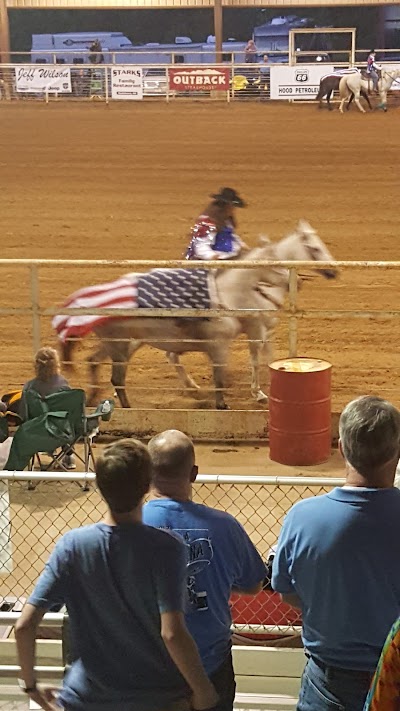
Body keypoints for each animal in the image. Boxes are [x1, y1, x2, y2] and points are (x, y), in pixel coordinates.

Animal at [57, 222, 336, 412]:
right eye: (314, 248)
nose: (334, 271)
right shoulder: (251, 331)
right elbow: (252, 361)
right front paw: (256, 393)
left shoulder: (266, 329)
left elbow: (266, 357)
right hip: (122, 344)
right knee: (127, 371)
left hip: (126, 343)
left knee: (99, 361)